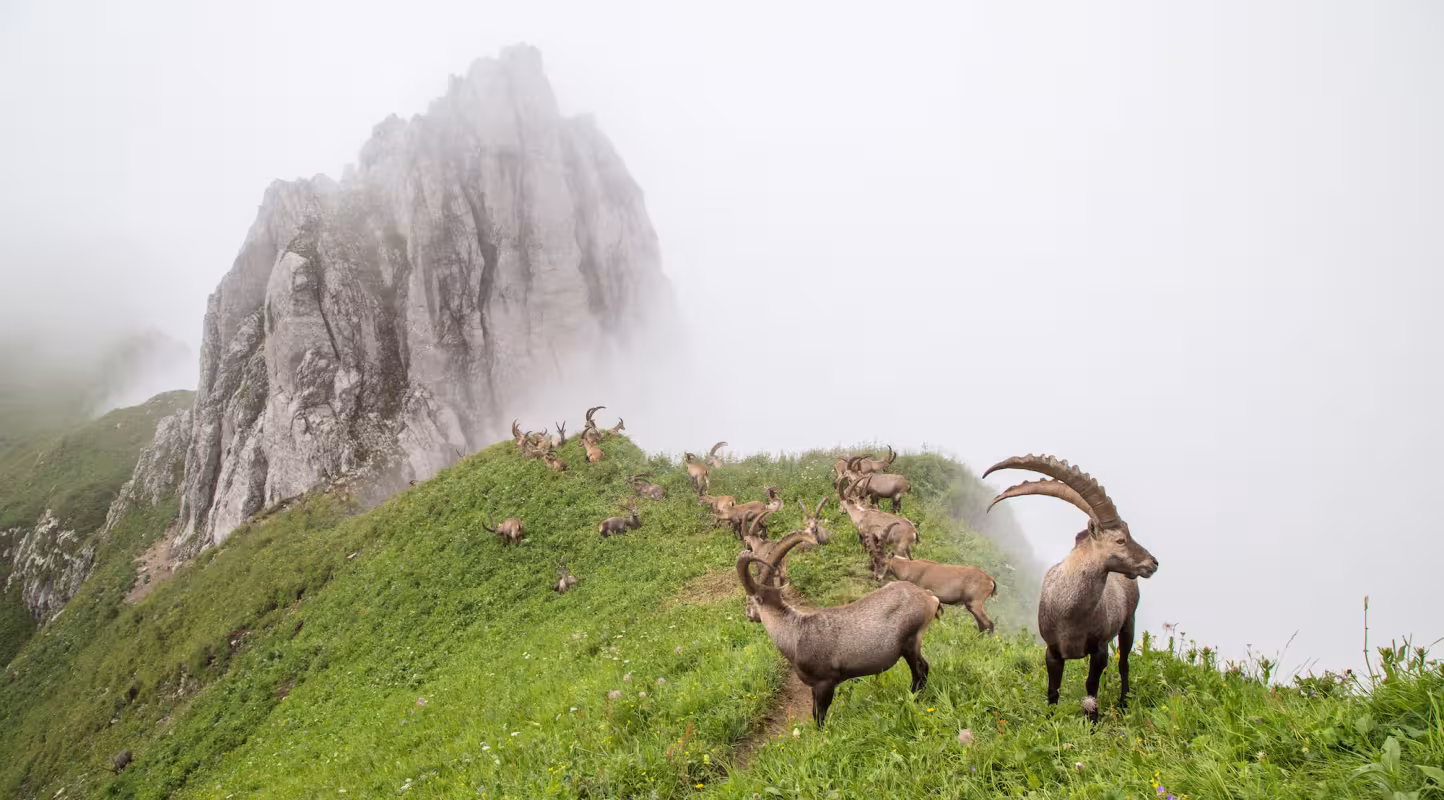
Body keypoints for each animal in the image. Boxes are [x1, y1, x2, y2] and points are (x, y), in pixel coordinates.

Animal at [737, 536, 943, 728]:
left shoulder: (825, 682)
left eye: (750, 599)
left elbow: (820, 715)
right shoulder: (814, 687)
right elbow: (815, 712)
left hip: (910, 642)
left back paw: (913, 699)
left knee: (920, 670)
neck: (795, 634)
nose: (749, 614)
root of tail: (930, 598)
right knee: (924, 667)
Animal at [984, 453, 1159, 722]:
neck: (1070, 611)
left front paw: (1093, 722)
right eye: (1120, 540)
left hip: (1129, 622)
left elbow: (1091, 687)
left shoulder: (1099, 650)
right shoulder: (1052, 650)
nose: (1153, 563)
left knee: (1124, 664)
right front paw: (1050, 721)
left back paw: (1123, 703)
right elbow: (1053, 689)